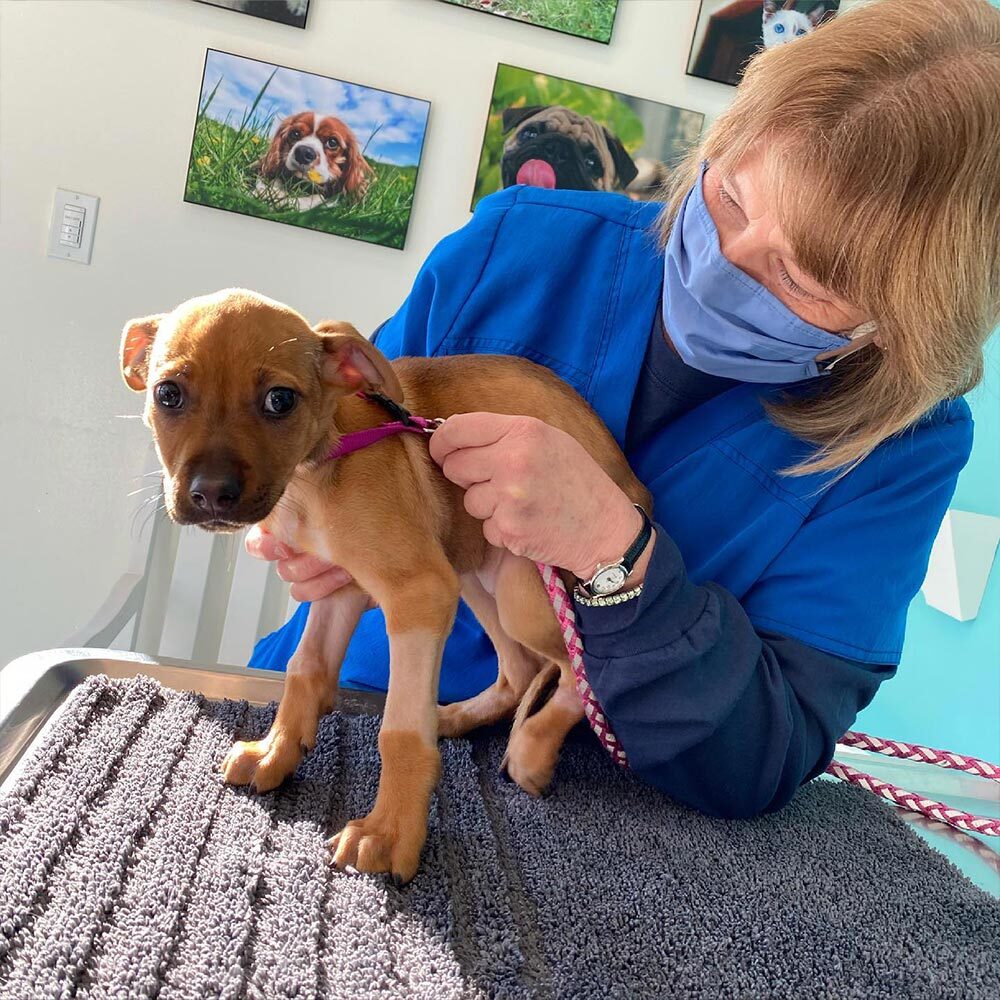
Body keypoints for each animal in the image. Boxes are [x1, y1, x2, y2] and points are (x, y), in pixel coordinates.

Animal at [119, 290, 648, 884]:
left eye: (280, 400)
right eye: (167, 393)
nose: (211, 494)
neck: (315, 472)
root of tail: (635, 490)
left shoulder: (418, 593)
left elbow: (399, 730)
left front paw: (389, 833)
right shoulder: (340, 588)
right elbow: (305, 668)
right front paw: (276, 751)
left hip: (521, 589)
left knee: (580, 672)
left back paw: (533, 748)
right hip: (473, 574)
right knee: (522, 669)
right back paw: (457, 717)